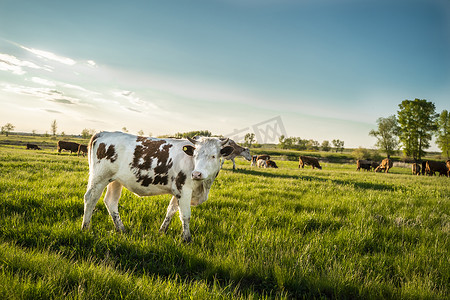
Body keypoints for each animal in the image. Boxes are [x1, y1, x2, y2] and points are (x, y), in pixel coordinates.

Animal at [81, 132, 234, 243]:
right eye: (195, 155)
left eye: (213, 156)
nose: (196, 174)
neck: (203, 186)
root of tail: (102, 133)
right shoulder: (183, 189)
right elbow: (185, 215)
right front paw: (187, 239)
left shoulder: (178, 191)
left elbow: (171, 211)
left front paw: (162, 231)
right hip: (99, 177)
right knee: (90, 198)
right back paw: (86, 228)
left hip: (115, 181)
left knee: (111, 202)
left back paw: (121, 229)